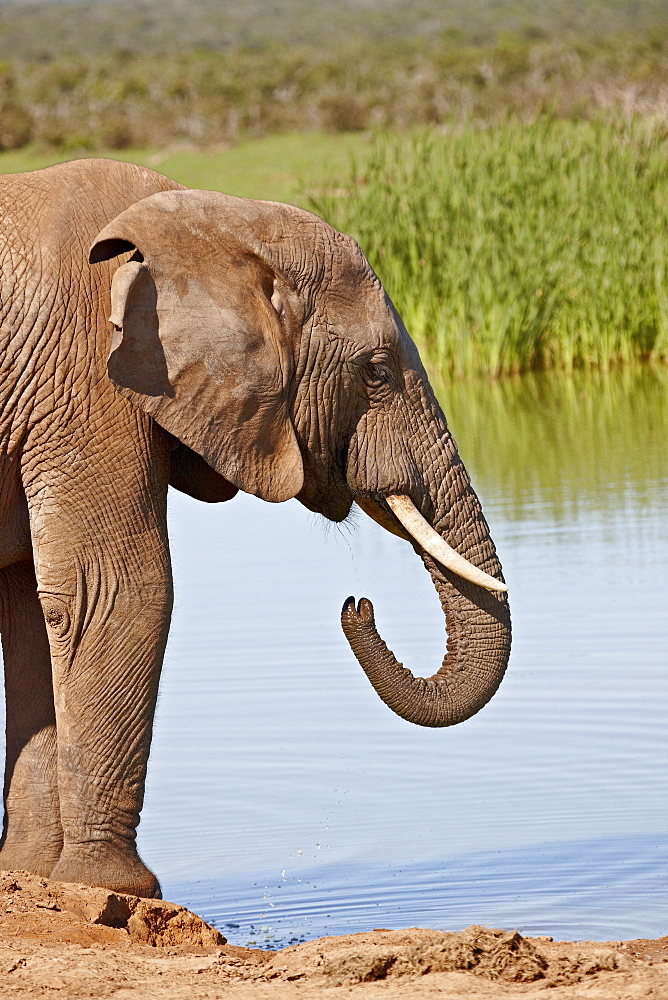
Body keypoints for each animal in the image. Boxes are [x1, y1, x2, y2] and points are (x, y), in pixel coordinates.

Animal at [0, 158, 508, 900]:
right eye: (377, 372)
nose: (358, 604)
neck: (213, 223)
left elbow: (38, 615)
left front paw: (36, 879)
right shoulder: (90, 382)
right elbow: (120, 591)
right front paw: (117, 891)